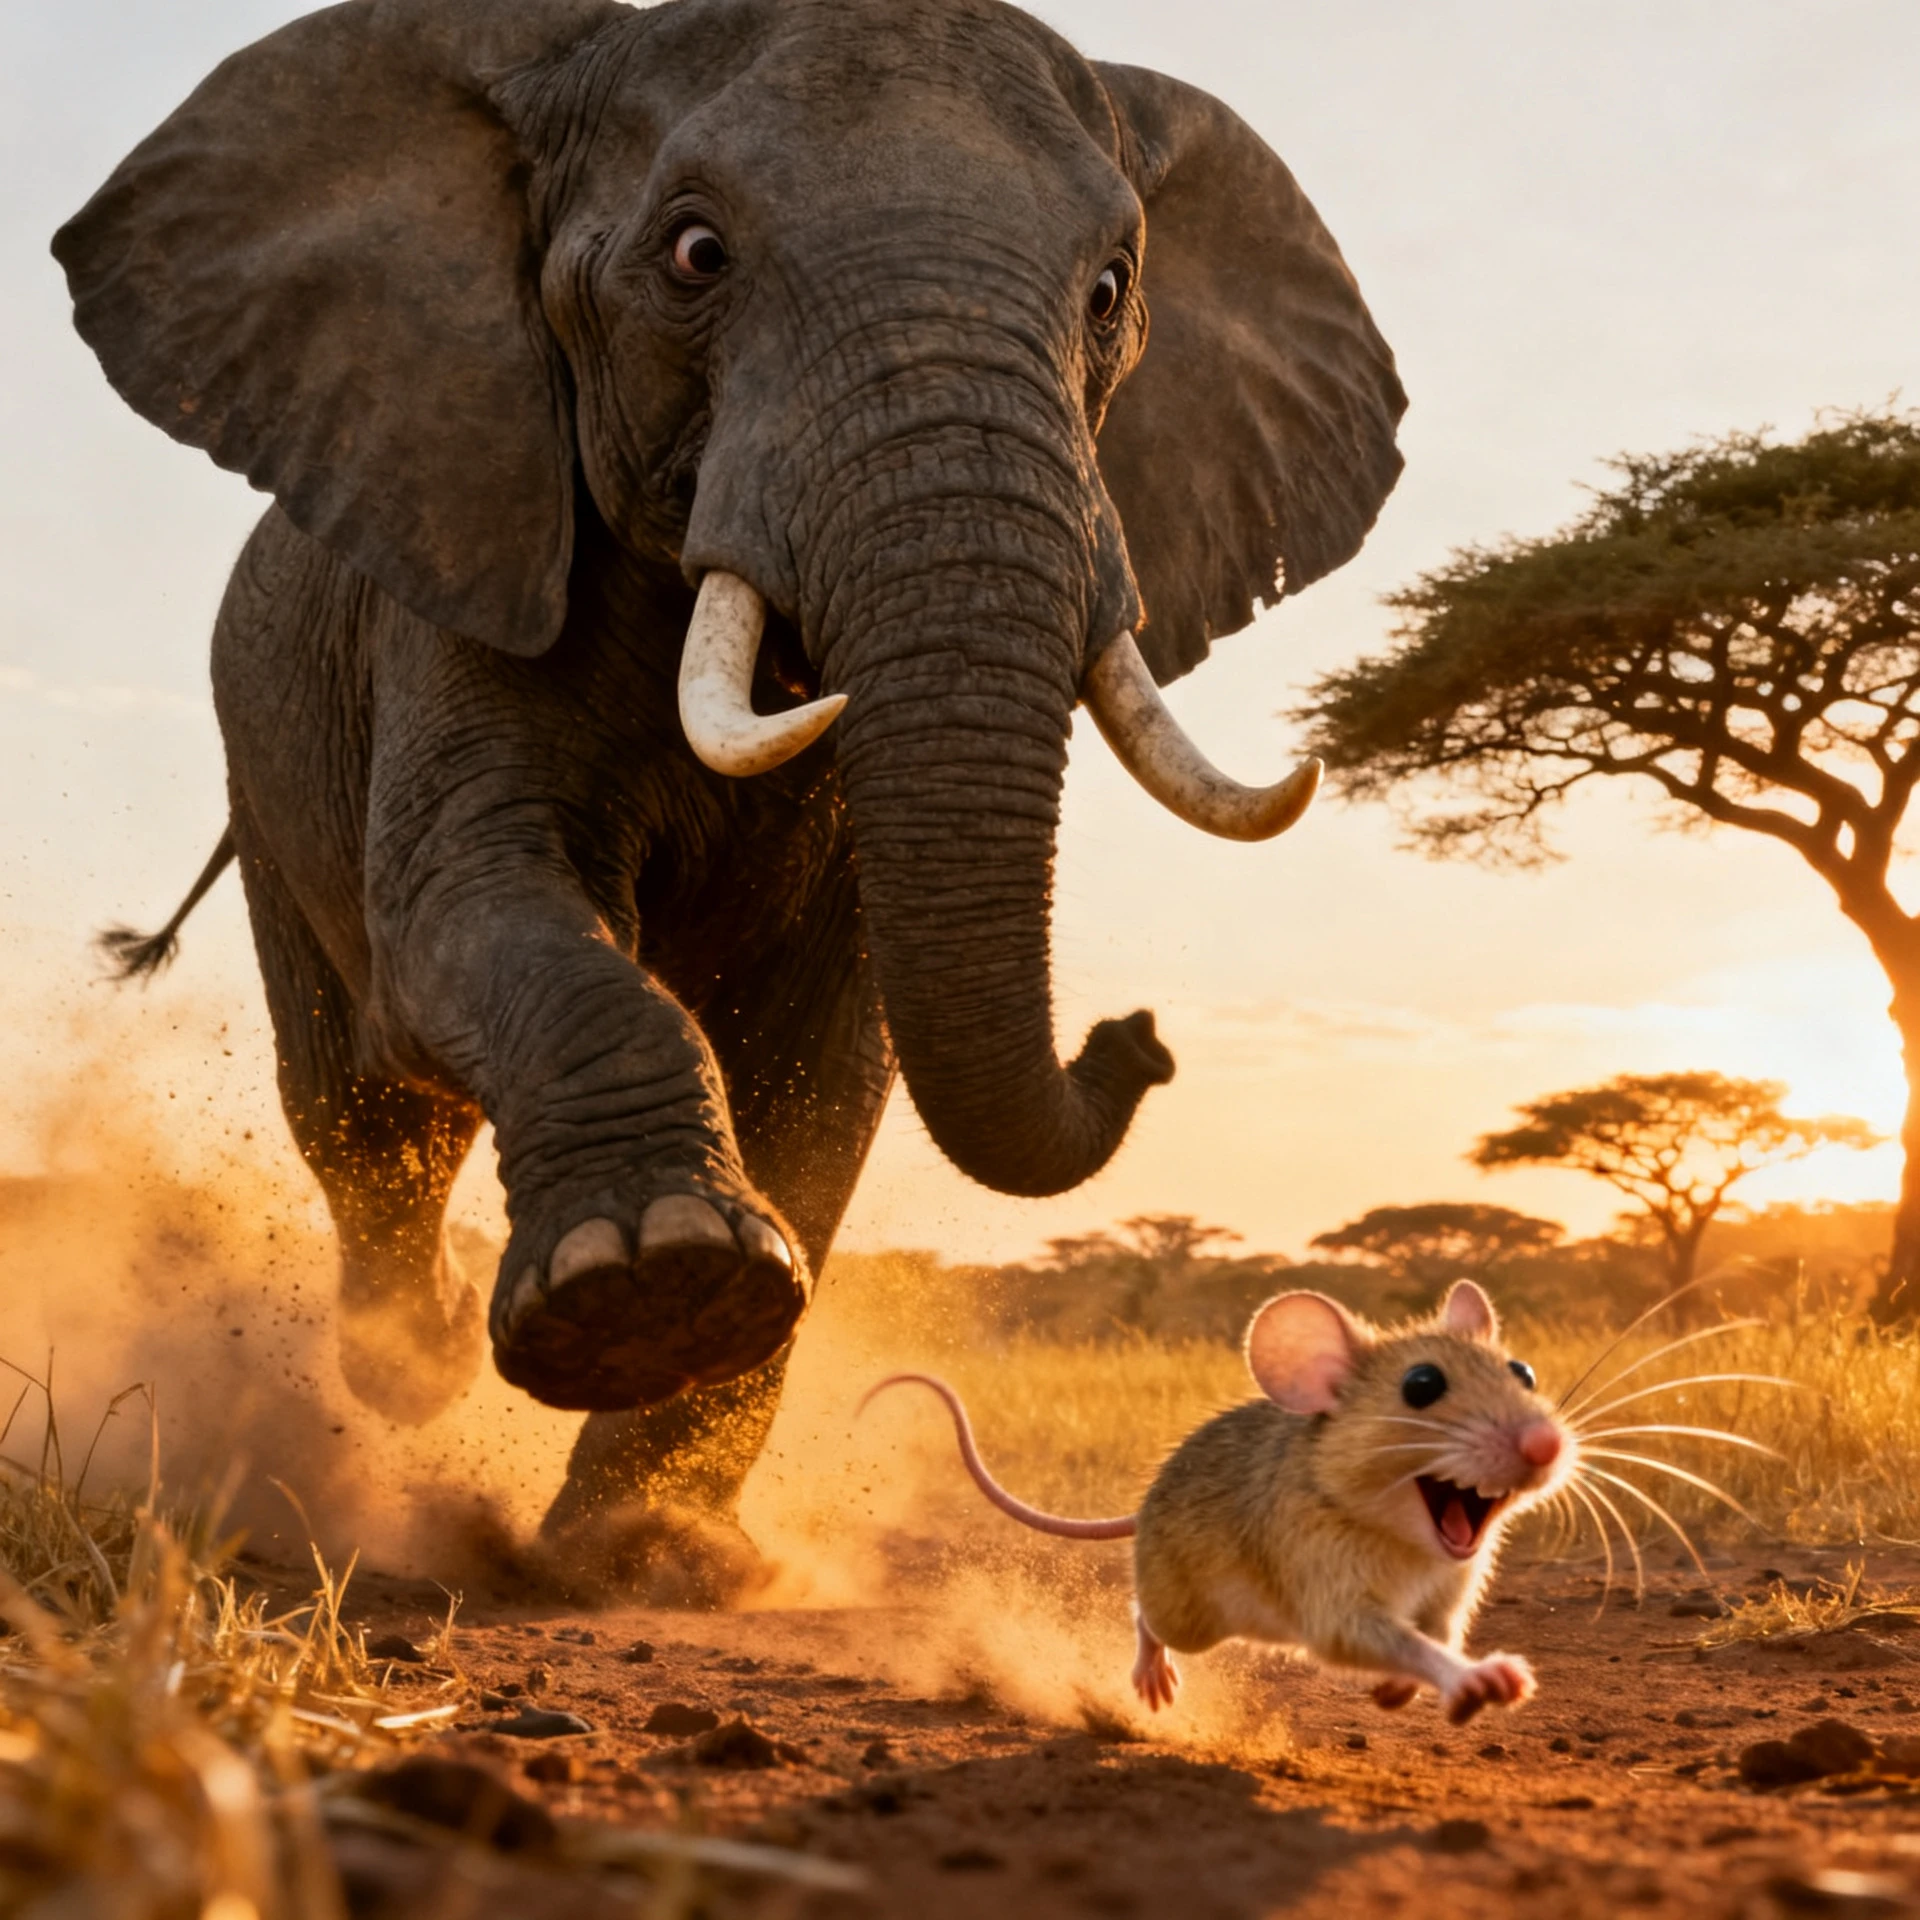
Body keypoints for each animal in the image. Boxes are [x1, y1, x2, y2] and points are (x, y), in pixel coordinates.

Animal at [55, 0, 1404, 1593]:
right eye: (697, 255)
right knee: (361, 1111)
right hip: (264, 770)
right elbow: (475, 899)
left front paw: (650, 1549)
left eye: (1111, 291)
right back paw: (414, 1363)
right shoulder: (471, 553)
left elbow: (825, 1051)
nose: (1135, 1036)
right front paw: (645, 1283)